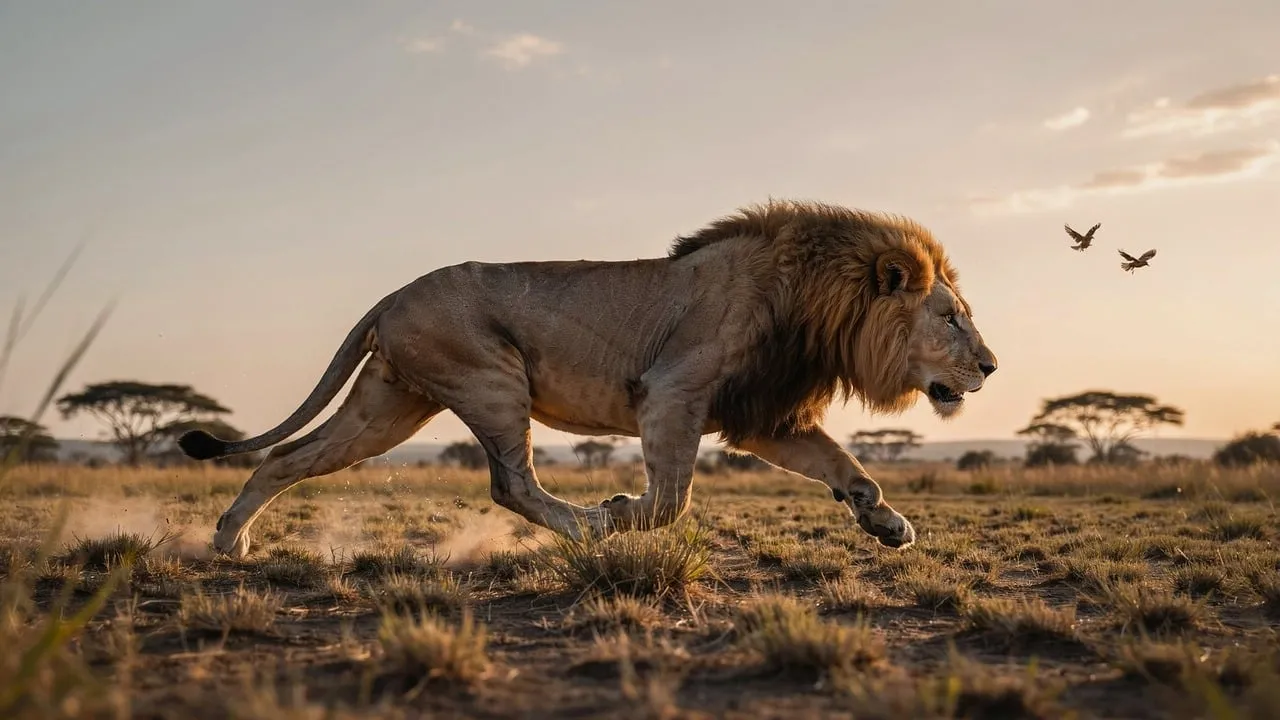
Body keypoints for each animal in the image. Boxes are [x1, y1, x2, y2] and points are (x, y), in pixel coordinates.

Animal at [179, 199, 998, 558]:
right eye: (952, 318)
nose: (991, 366)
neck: (819, 306)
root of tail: (391, 296)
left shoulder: (764, 414)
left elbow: (849, 469)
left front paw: (887, 524)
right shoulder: (672, 391)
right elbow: (668, 501)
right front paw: (619, 507)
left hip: (389, 406)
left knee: (289, 457)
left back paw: (227, 541)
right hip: (491, 379)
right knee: (512, 485)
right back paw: (590, 527)